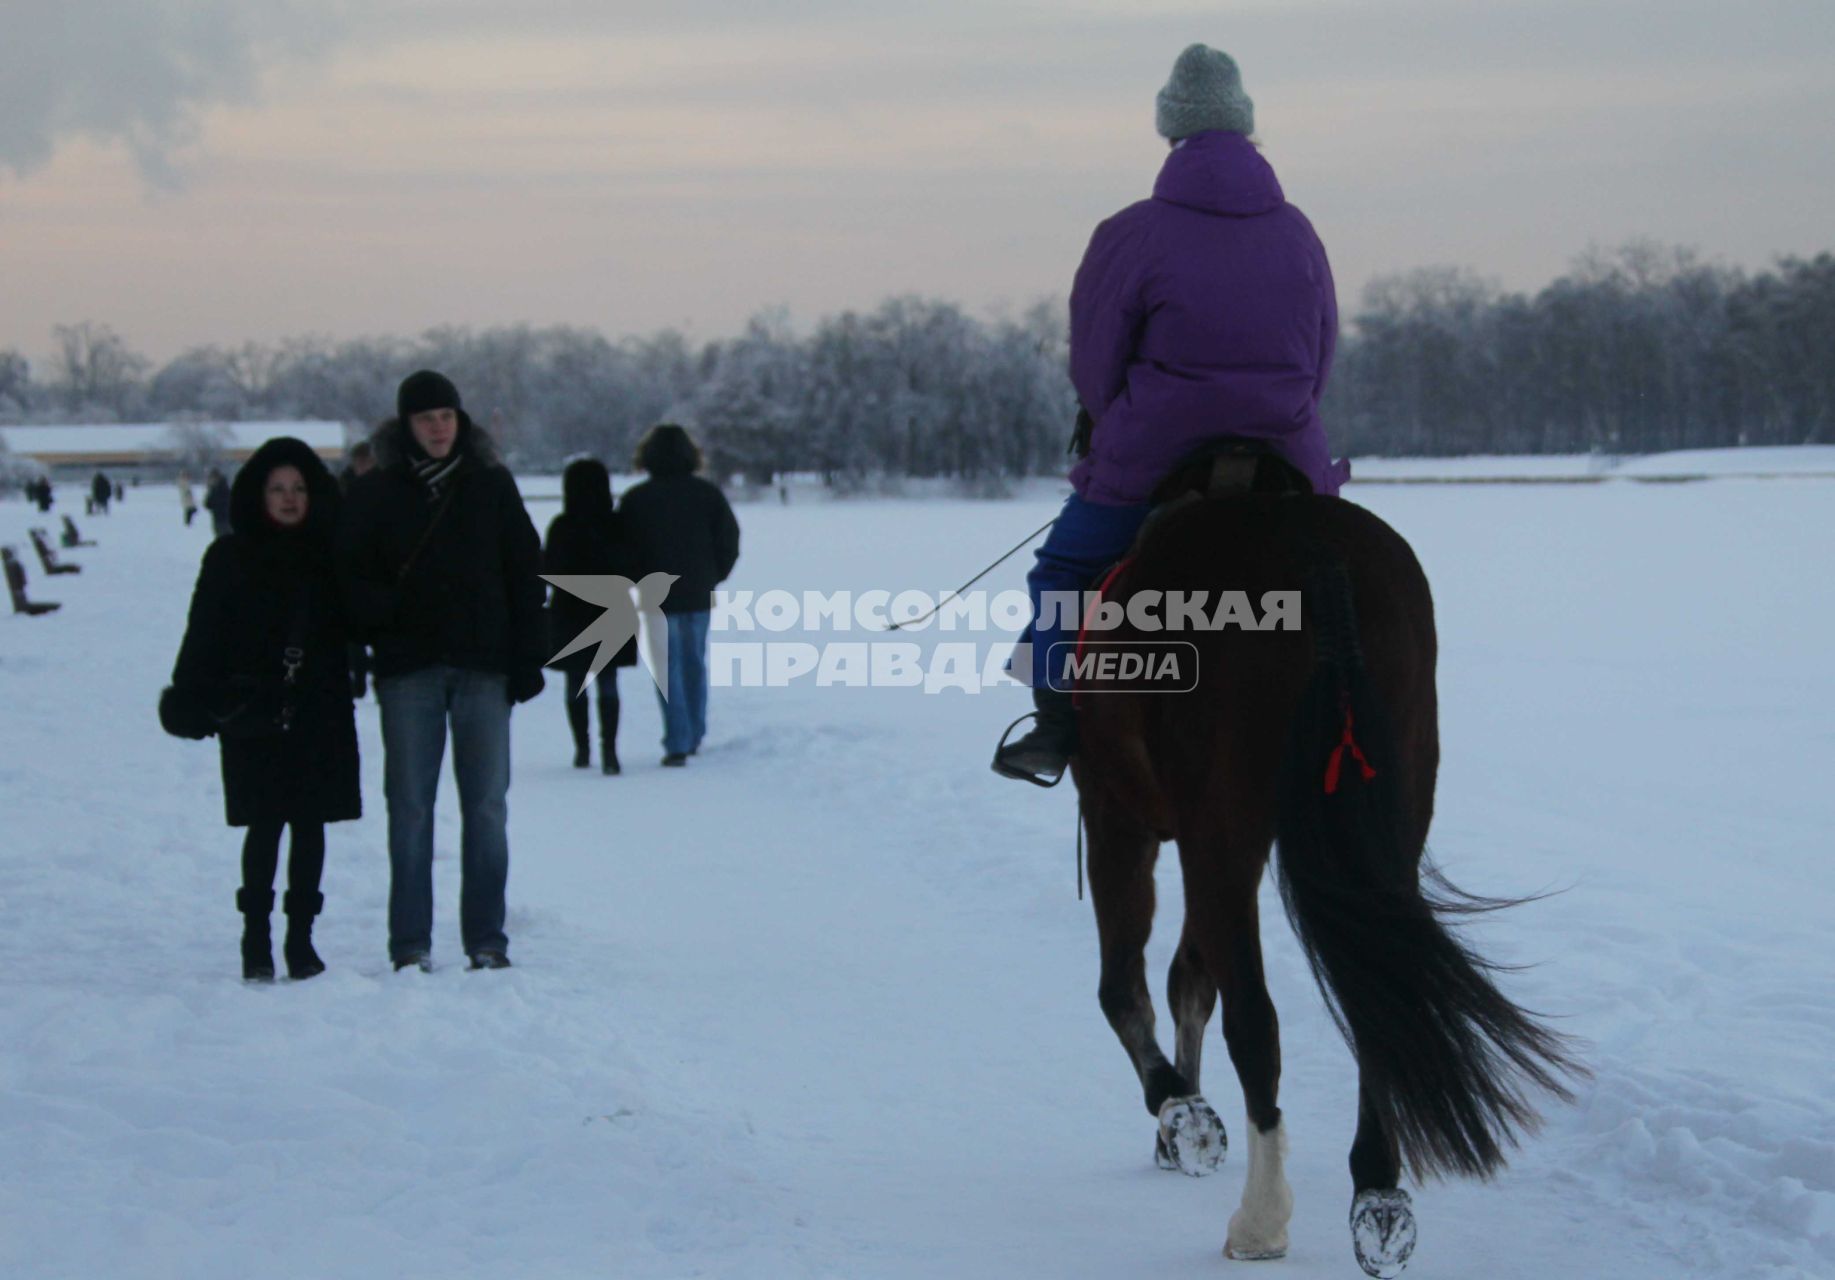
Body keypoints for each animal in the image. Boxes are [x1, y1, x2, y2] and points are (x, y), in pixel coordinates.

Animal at [1071, 463, 1578, 1268]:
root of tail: (1309, 549)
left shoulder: (1116, 812)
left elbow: (1127, 988)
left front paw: (1181, 1113)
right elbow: (1188, 981)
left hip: (1218, 827)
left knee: (1253, 1018)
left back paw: (1259, 1217)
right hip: (1386, 817)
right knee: (1382, 1003)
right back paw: (1377, 1195)